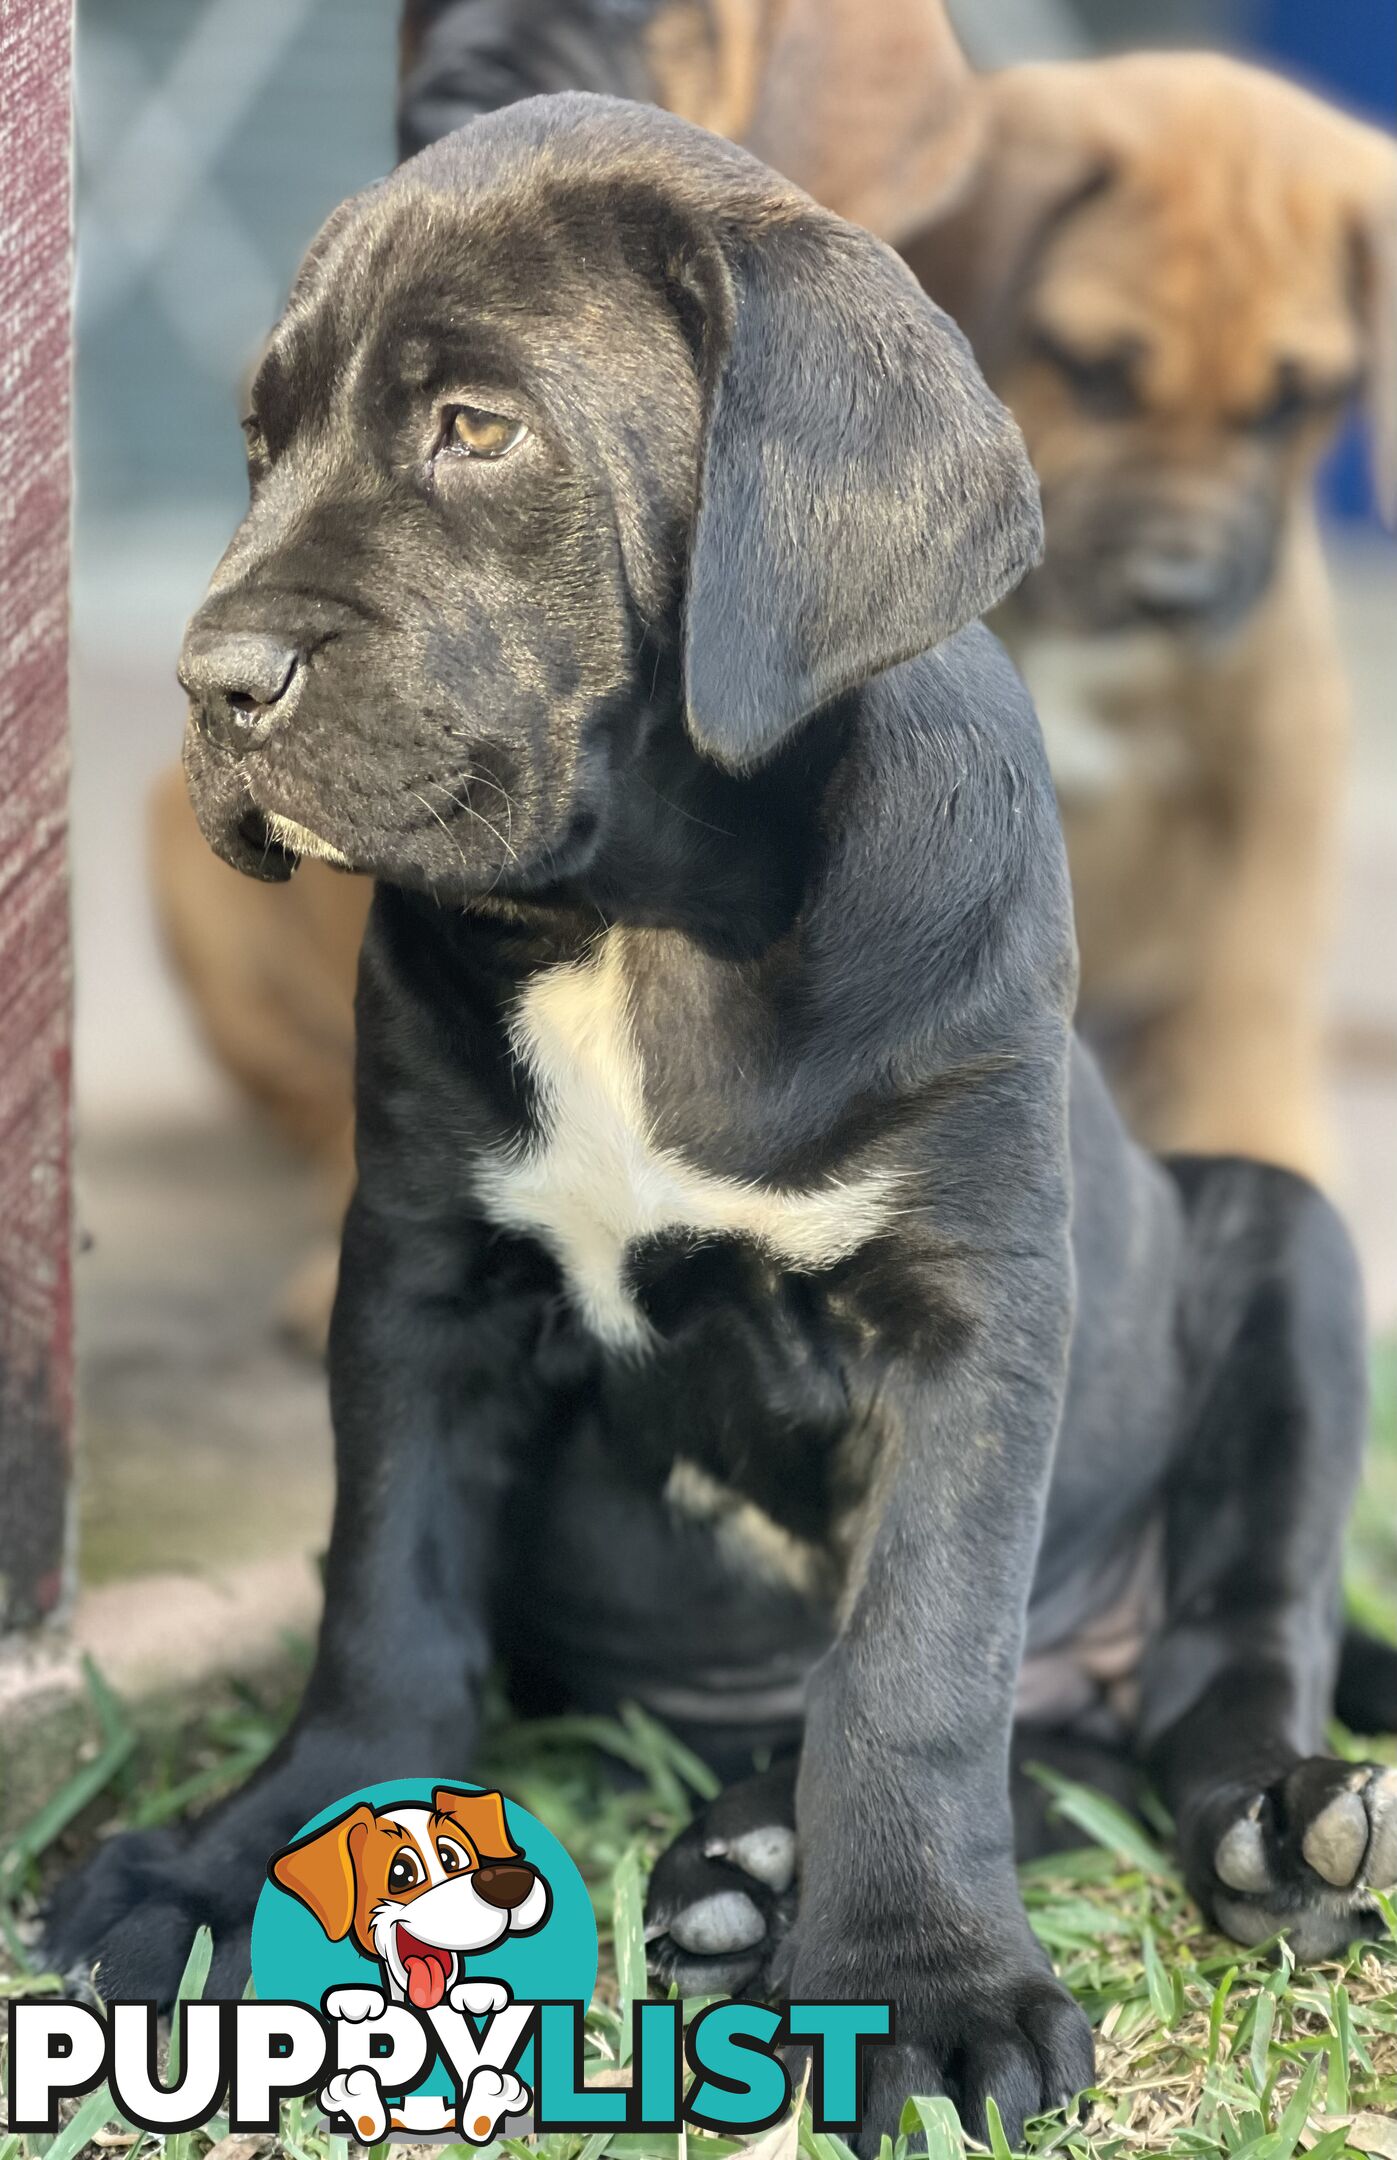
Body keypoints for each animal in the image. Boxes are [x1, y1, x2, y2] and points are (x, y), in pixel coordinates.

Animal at [911, 59, 1390, 1183]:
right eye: (1092, 371)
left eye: (1289, 405)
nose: (1173, 594)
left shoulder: (1278, 754)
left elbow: (1253, 975)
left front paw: (1256, 1141)